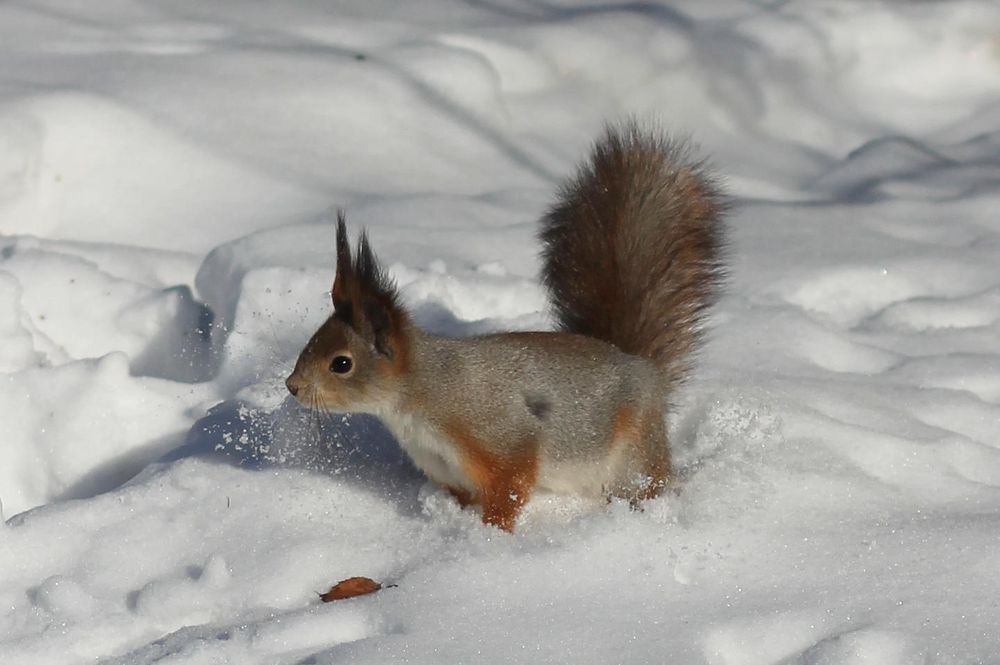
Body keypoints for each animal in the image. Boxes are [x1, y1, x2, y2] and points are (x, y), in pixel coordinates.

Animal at [286, 122, 724, 532]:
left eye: (341, 364)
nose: (292, 386)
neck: (422, 391)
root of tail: (645, 370)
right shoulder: (447, 471)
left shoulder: (499, 437)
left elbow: (512, 483)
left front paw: (491, 532)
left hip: (634, 455)